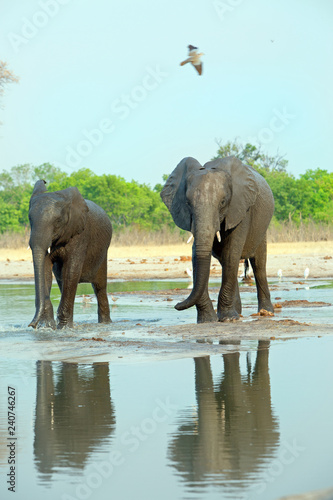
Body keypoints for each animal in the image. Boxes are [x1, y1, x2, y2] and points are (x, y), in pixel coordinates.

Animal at [28, 180, 111, 328]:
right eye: (30, 219)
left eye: (58, 221)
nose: (31, 325)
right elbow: (45, 270)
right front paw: (47, 327)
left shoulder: (80, 234)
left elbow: (71, 271)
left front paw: (64, 328)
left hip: (103, 252)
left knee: (99, 286)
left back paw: (105, 324)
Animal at [160, 154, 274, 322]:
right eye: (187, 203)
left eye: (222, 202)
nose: (176, 305)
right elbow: (197, 254)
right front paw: (208, 320)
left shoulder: (240, 209)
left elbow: (231, 253)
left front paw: (228, 319)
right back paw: (238, 312)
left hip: (261, 228)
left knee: (258, 264)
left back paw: (266, 312)